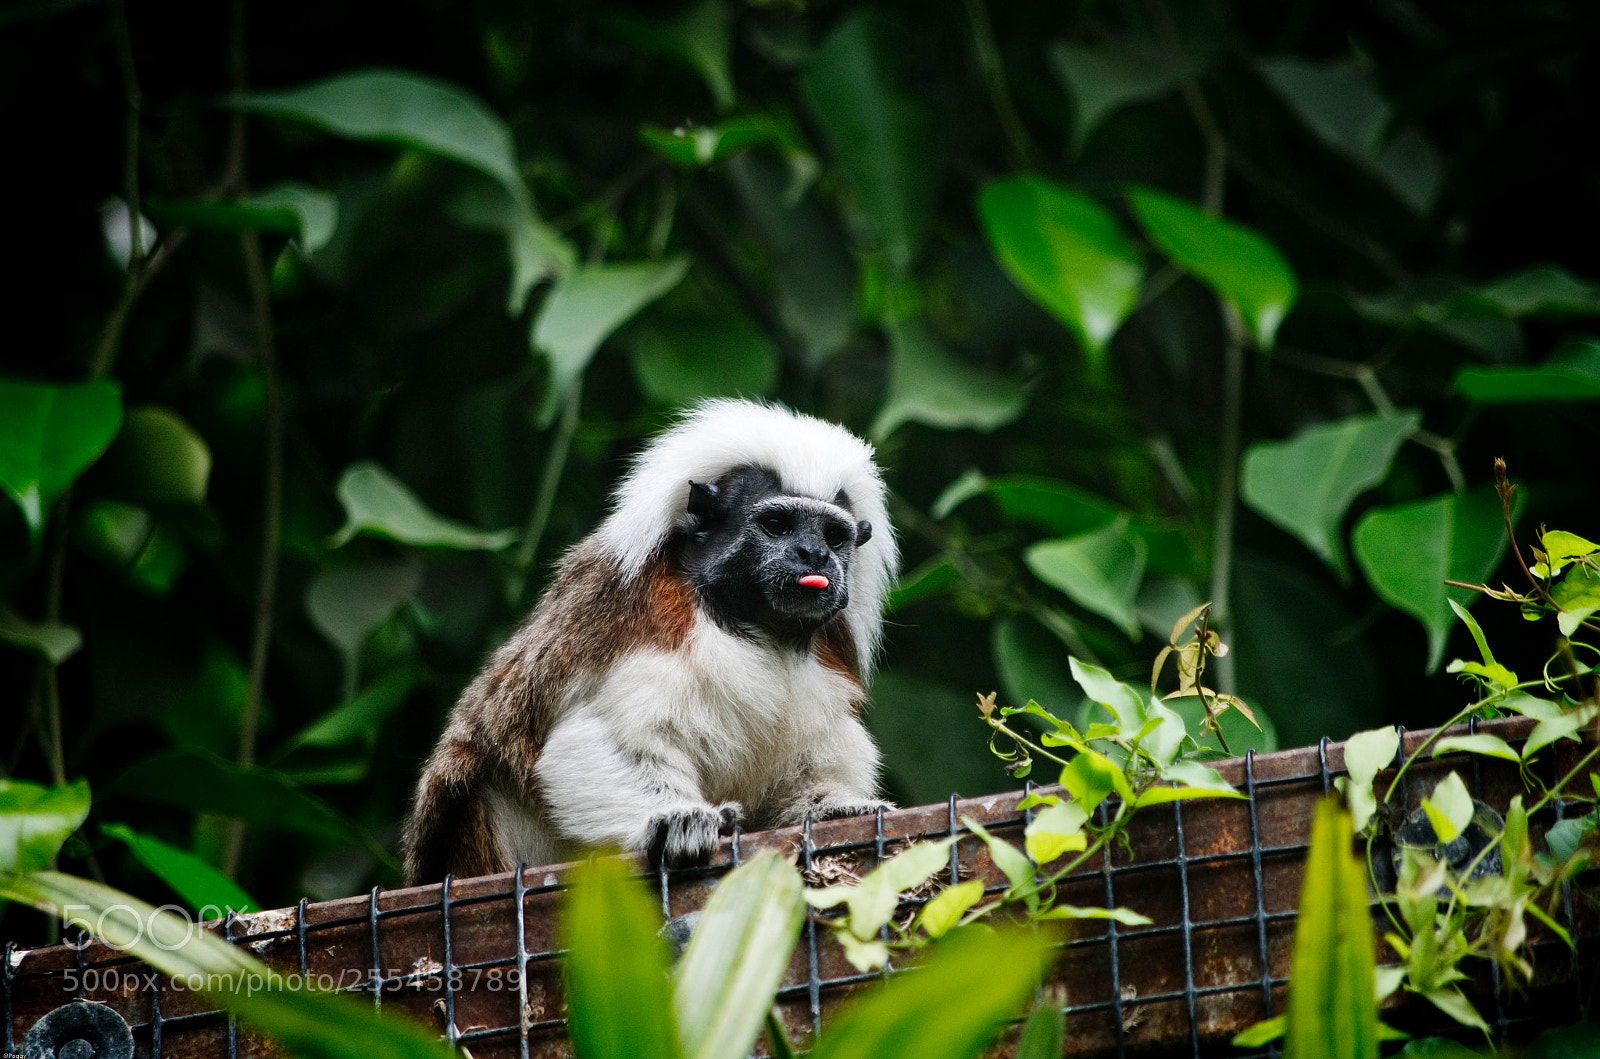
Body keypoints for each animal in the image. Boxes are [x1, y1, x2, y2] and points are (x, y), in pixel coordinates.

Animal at [402, 399, 898, 883]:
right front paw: (678, 820)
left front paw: (838, 809)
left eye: (834, 537)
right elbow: (602, 739)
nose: (814, 555)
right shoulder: (655, 626)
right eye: (778, 525)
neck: (755, 629)